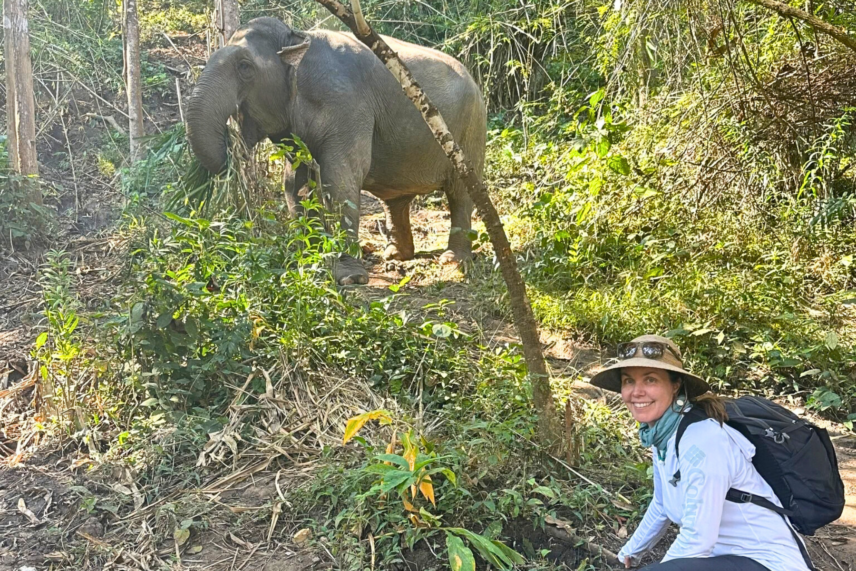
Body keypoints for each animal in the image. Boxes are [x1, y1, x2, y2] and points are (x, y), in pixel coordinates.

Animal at [186, 17, 487, 285]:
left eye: (245, 67)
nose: (231, 140)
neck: (295, 36)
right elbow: (294, 184)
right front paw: (310, 262)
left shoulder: (346, 103)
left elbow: (341, 177)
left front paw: (351, 278)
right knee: (396, 201)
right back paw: (395, 255)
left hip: (471, 129)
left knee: (460, 193)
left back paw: (454, 260)